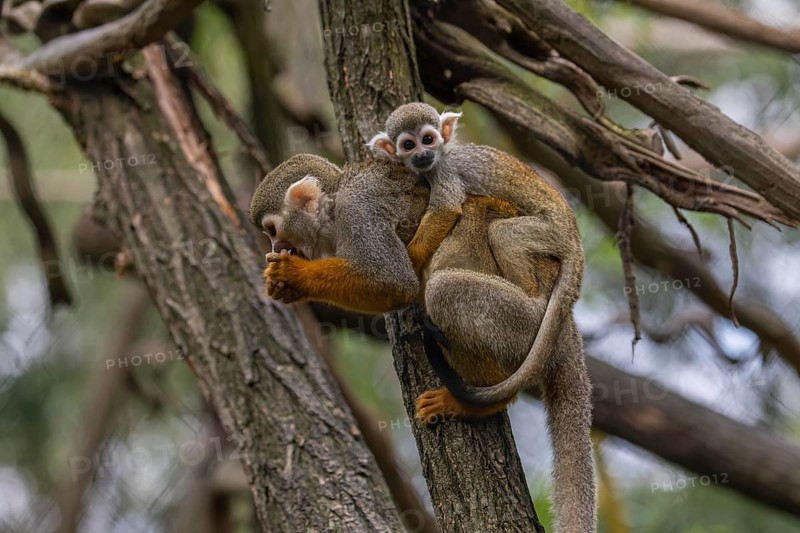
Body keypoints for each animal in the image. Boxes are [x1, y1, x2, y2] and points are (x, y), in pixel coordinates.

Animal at [250, 153, 597, 532]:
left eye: (272, 230)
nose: (275, 248)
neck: (335, 205)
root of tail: (564, 324)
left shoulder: (359, 215)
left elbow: (395, 283)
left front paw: (295, 277)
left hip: (524, 323)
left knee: (445, 290)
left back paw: (478, 400)